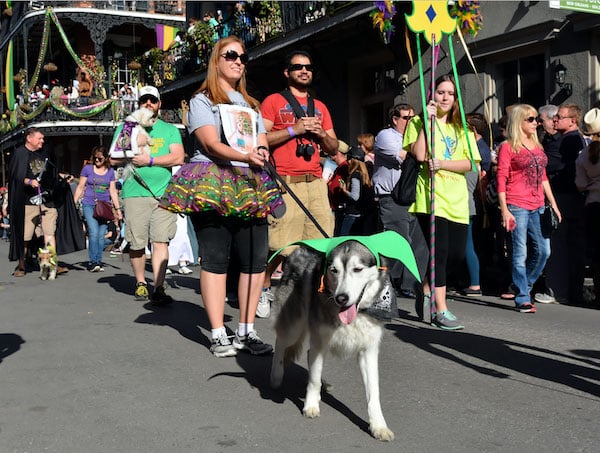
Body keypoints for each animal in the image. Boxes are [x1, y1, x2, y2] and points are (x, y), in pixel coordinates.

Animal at [270, 240, 394, 442]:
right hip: (294, 327)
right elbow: (313, 380)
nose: (341, 298)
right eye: (334, 270)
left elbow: (373, 392)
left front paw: (378, 426)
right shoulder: (319, 341)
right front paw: (311, 406)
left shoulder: (368, 351)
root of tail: (297, 251)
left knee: (308, 354)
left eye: (357, 269)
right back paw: (276, 377)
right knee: (280, 343)